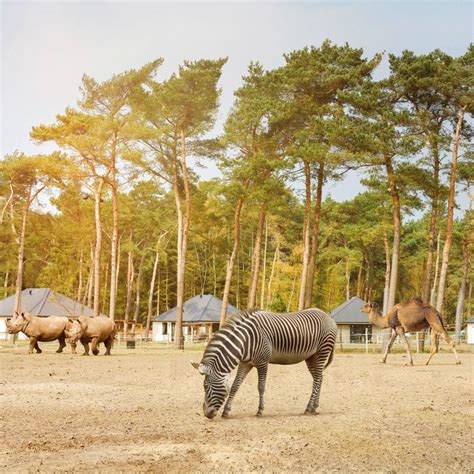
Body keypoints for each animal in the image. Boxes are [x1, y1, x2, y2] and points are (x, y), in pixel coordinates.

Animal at [191, 310, 336, 420]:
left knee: (318, 379)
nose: (207, 414)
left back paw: (309, 408)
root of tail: (328, 316)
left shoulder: (262, 362)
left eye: (206, 387)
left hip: (322, 351)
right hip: (311, 357)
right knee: (319, 378)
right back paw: (314, 407)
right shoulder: (245, 363)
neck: (244, 342)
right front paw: (226, 411)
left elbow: (261, 387)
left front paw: (260, 411)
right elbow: (235, 386)